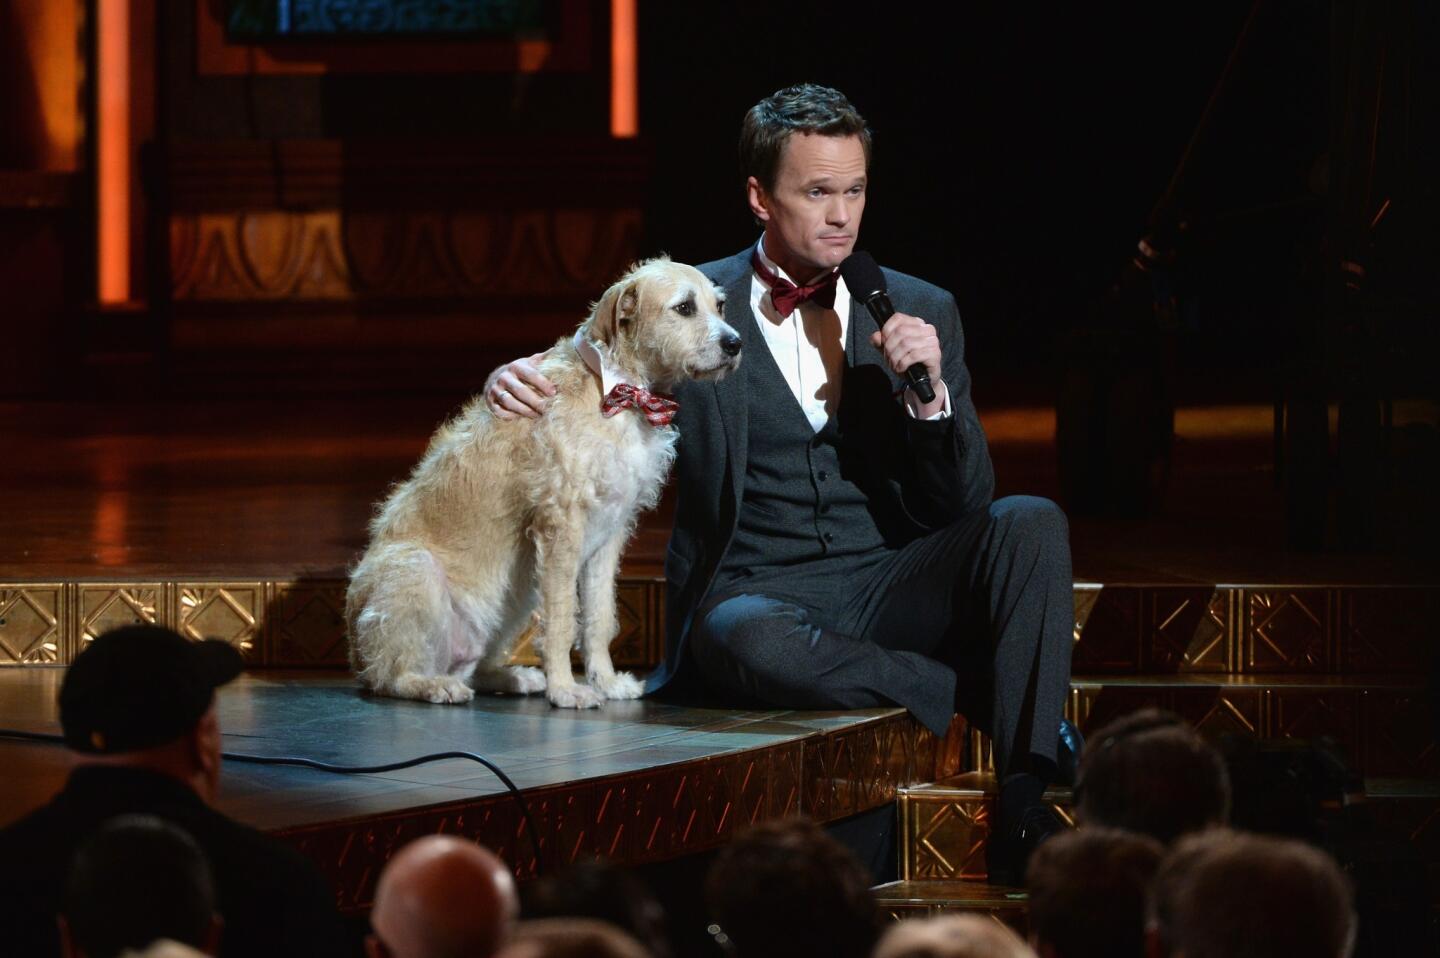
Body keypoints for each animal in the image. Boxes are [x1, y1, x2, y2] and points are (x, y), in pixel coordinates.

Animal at [342, 257, 737, 705]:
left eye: (720, 306)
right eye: (684, 307)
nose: (736, 344)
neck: (622, 393)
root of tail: (356, 652)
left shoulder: (611, 531)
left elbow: (599, 617)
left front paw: (605, 681)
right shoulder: (561, 526)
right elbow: (562, 620)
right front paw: (565, 690)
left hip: (515, 595)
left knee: (473, 669)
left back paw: (513, 677)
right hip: (415, 572)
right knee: (390, 677)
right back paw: (433, 685)